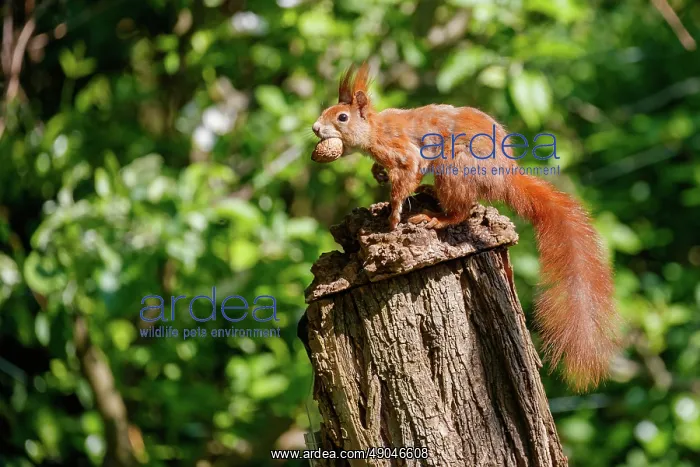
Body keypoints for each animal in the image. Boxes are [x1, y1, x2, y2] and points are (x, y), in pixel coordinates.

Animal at [312, 63, 619, 391]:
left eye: (342, 117)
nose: (316, 128)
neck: (376, 129)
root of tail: (505, 177)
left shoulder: (403, 152)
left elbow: (406, 177)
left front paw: (392, 216)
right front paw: (377, 173)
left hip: (454, 167)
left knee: (461, 210)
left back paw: (436, 217)